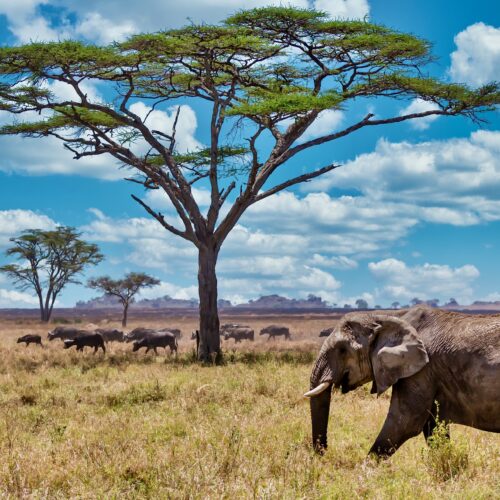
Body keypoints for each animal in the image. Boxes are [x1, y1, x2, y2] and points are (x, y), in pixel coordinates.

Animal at [304, 304, 500, 458]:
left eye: (342, 350)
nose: (323, 453)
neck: (388, 316)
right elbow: (432, 427)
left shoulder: (422, 369)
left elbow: (404, 423)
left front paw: (363, 473)